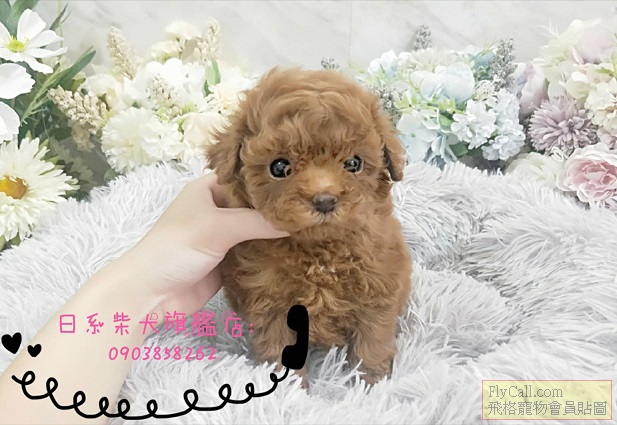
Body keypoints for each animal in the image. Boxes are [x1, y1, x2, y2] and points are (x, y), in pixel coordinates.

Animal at [205, 67, 412, 386]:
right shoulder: (271, 306)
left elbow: (372, 341)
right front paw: (289, 389)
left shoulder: (377, 289)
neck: (320, 253)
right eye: (279, 167)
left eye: (354, 163)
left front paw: (371, 383)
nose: (325, 200)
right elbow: (280, 348)